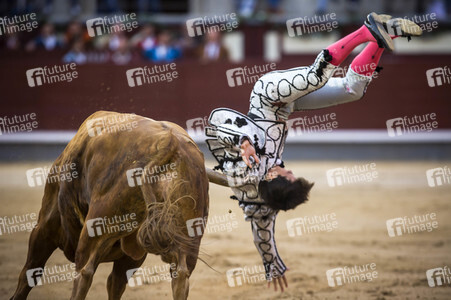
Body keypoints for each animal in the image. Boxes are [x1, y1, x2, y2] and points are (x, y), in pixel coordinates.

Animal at [10, 110, 211, 300]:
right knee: (180, 276)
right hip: (187, 234)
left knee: (84, 272)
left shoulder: (44, 226)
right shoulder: (130, 256)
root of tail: (170, 143)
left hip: (97, 223)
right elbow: (116, 283)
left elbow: (29, 272)